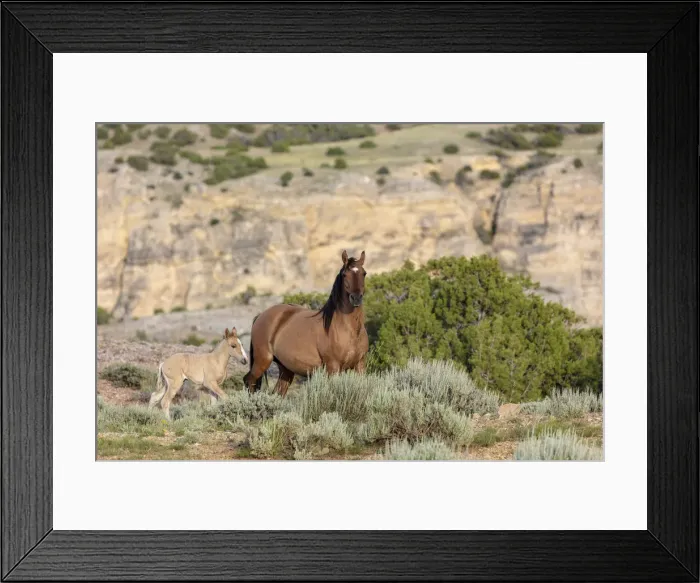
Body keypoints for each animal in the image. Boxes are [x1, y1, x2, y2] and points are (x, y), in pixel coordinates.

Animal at [244, 249, 369, 396]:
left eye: (364, 273)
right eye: (345, 275)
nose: (356, 298)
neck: (348, 330)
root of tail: (260, 315)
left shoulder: (360, 365)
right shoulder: (333, 367)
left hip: (285, 369)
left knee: (278, 392)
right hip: (263, 360)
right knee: (249, 380)